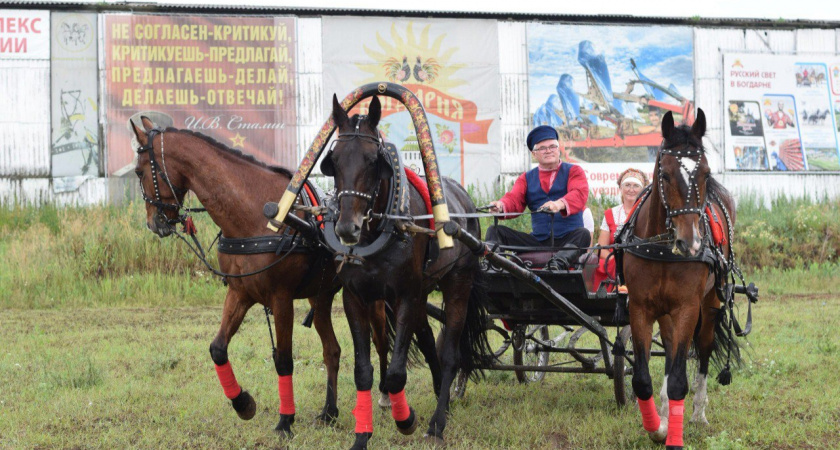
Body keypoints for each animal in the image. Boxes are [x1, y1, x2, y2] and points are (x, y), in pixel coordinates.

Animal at [131, 116, 400, 436]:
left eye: (139, 171)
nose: (153, 222)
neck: (257, 216)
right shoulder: (240, 294)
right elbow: (217, 348)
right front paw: (243, 403)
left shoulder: (281, 299)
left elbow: (283, 360)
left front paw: (285, 420)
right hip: (319, 297)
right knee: (332, 351)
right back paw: (329, 412)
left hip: (371, 299)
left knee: (380, 341)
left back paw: (384, 395)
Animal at [320, 94, 492, 446]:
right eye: (335, 160)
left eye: (373, 160)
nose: (346, 229)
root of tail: (464, 199)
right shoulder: (355, 297)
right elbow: (363, 371)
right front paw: (362, 435)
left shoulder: (406, 295)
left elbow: (397, 373)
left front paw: (406, 419)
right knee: (427, 341)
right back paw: (443, 399)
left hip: (458, 282)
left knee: (450, 352)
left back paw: (438, 423)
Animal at [620, 110, 740, 450]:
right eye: (665, 175)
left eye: (705, 173)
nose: (692, 243)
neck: (665, 248)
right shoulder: (640, 308)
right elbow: (642, 380)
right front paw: (658, 428)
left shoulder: (688, 308)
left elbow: (678, 380)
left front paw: (673, 436)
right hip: (666, 313)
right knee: (673, 347)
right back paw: (664, 412)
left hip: (710, 305)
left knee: (703, 350)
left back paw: (698, 412)